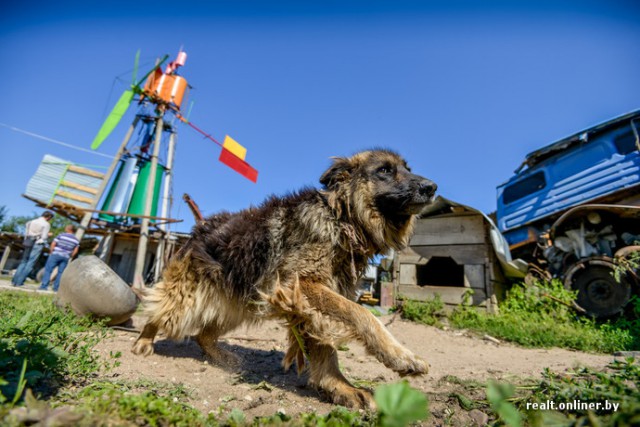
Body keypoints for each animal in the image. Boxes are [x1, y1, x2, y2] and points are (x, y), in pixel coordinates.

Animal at [132, 149, 438, 410]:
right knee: (159, 311)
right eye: (384, 170)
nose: (432, 187)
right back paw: (144, 342)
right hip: (187, 298)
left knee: (202, 335)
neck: (340, 219)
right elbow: (363, 314)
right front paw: (400, 356)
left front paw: (340, 387)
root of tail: (201, 226)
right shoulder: (301, 286)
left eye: (407, 169)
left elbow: (326, 347)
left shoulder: (307, 298)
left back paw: (224, 359)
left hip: (239, 304)